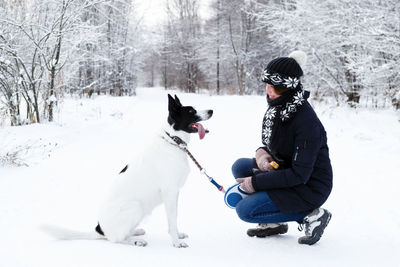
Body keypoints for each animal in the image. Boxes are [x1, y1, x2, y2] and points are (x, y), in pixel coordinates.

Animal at [43, 94, 212, 249]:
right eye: (191, 111)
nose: (211, 110)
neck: (172, 141)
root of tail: (100, 229)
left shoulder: (174, 194)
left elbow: (174, 220)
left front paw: (177, 235)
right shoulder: (170, 192)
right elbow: (172, 218)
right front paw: (176, 242)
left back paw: (136, 232)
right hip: (135, 207)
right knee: (117, 239)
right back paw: (136, 241)